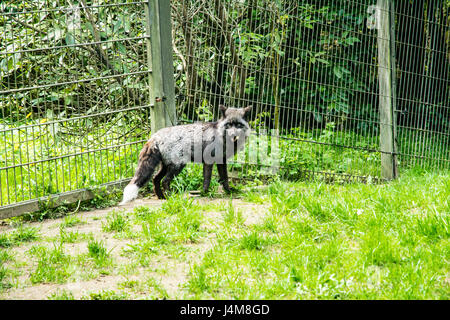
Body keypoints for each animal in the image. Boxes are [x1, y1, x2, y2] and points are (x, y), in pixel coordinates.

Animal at [119, 105, 253, 205]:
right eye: (228, 125)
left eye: (239, 125)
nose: (234, 135)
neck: (220, 135)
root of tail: (155, 136)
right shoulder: (209, 161)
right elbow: (207, 179)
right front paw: (204, 193)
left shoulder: (221, 160)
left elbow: (224, 178)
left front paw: (229, 192)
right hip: (178, 166)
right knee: (165, 181)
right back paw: (170, 197)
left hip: (166, 166)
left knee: (155, 179)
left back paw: (161, 197)